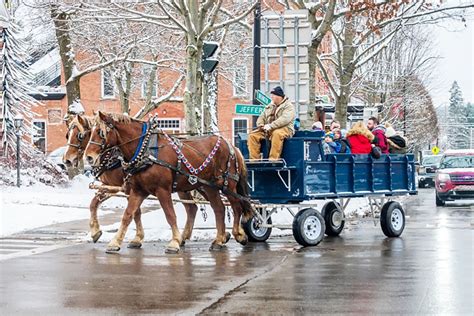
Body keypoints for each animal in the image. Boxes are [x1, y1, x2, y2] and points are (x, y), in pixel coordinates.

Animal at [62, 115, 206, 248]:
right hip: (185, 186)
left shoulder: (127, 188)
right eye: (67, 135)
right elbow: (93, 204)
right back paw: (184, 237)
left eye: (80, 135)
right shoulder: (112, 186)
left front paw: (137, 238)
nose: (67, 160)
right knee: (192, 208)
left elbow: (136, 212)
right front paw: (95, 232)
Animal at [82, 112, 252, 253]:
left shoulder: (161, 189)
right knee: (218, 209)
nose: (88, 157)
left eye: (100, 132)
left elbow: (170, 215)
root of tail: (231, 146)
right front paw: (115, 242)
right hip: (207, 186)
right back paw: (218, 240)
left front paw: (174, 242)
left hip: (227, 184)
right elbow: (128, 214)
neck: (144, 151)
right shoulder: (137, 190)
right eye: (89, 133)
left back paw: (238, 234)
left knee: (236, 206)